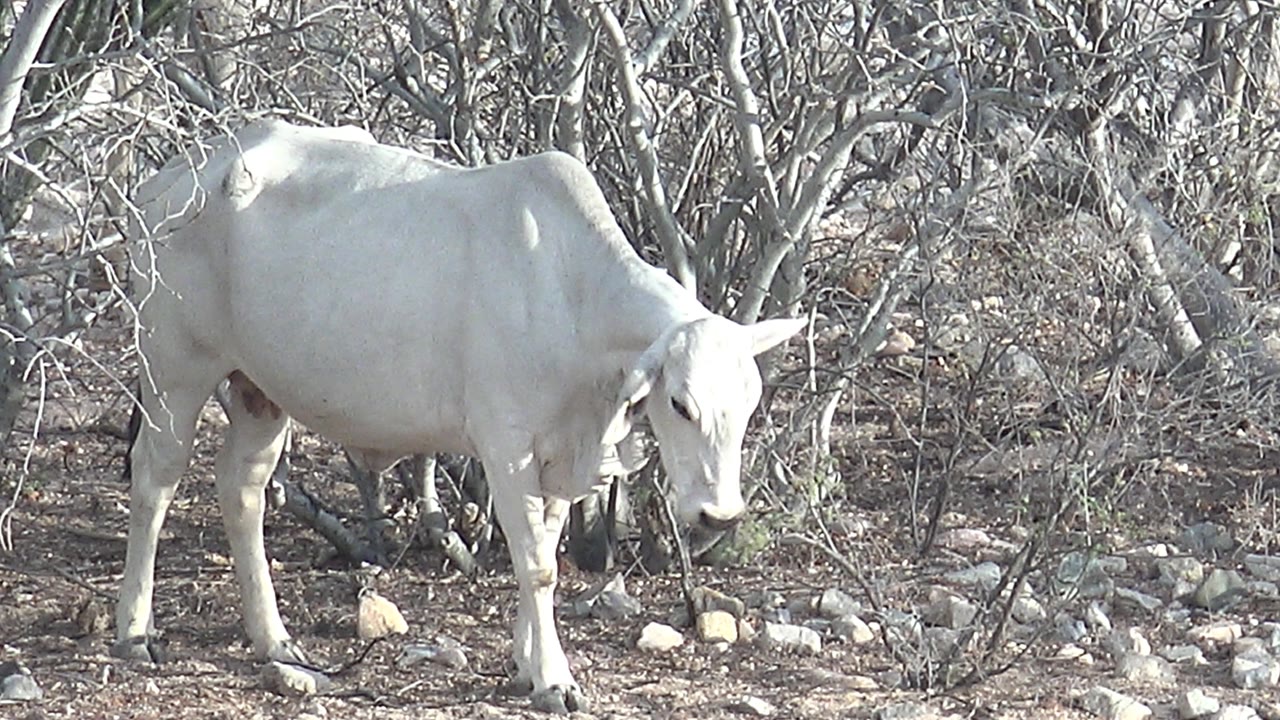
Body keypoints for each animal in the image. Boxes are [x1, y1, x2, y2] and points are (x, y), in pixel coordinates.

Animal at [116, 119, 804, 713]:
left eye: (749, 403)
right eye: (680, 403)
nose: (719, 514)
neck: (571, 295)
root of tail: (169, 178)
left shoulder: (558, 458)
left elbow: (543, 551)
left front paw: (526, 664)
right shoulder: (506, 446)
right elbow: (538, 564)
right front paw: (554, 679)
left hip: (261, 391)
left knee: (243, 490)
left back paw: (273, 638)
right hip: (174, 371)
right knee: (155, 481)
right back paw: (135, 631)